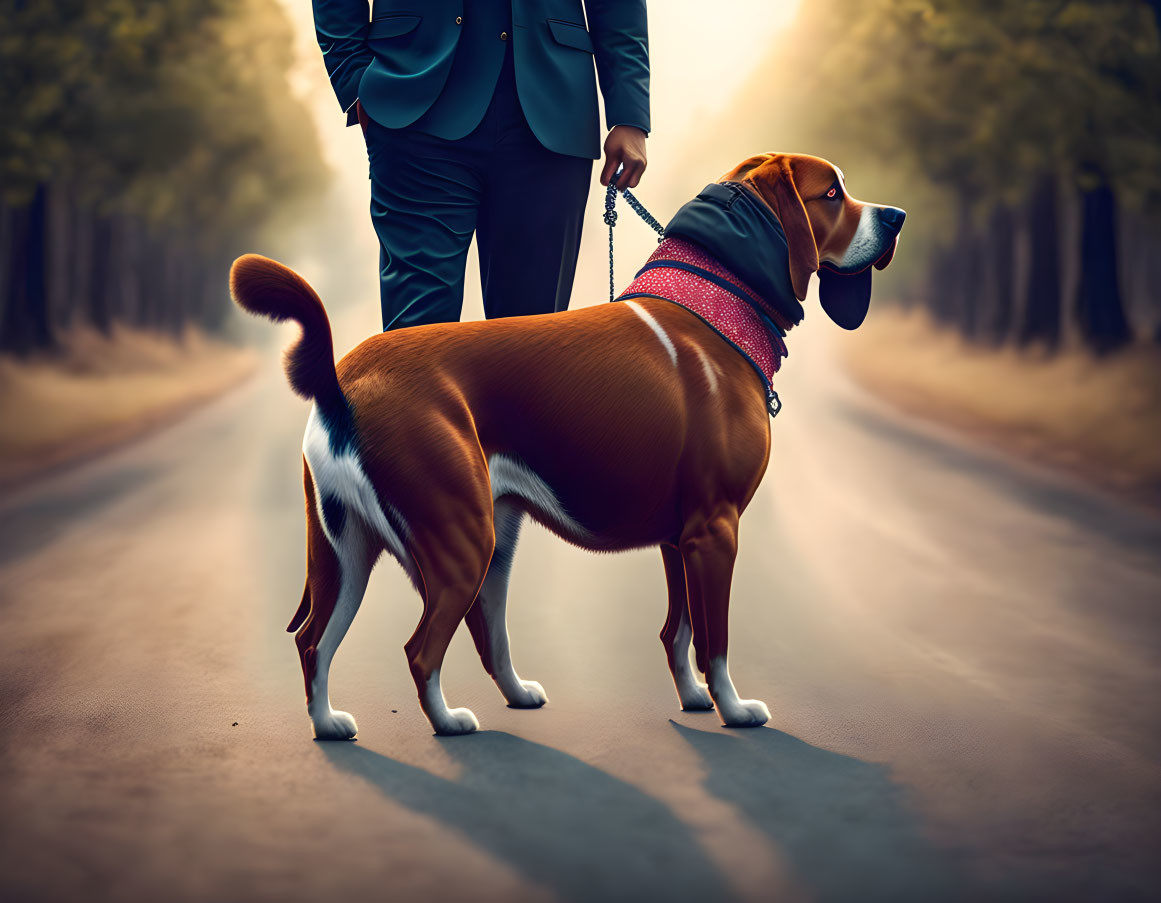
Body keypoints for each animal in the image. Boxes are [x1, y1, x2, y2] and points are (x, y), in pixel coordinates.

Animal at [231, 150, 905, 733]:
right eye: (832, 193)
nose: (897, 217)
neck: (717, 302)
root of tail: (341, 380)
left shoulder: (681, 537)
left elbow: (678, 630)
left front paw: (691, 698)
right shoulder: (715, 531)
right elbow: (714, 640)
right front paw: (734, 710)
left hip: (358, 550)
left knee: (323, 640)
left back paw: (343, 723)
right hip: (462, 540)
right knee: (421, 649)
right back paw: (449, 722)